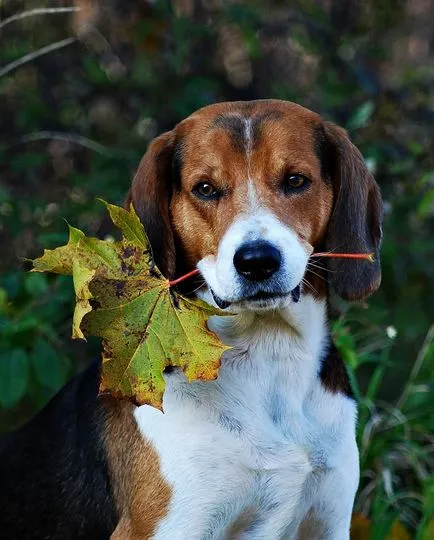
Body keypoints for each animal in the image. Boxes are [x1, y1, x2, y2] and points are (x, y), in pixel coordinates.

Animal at [0, 99, 382, 536]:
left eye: (296, 180)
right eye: (205, 188)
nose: (257, 261)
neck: (268, 356)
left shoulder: (328, 521)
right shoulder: (167, 525)